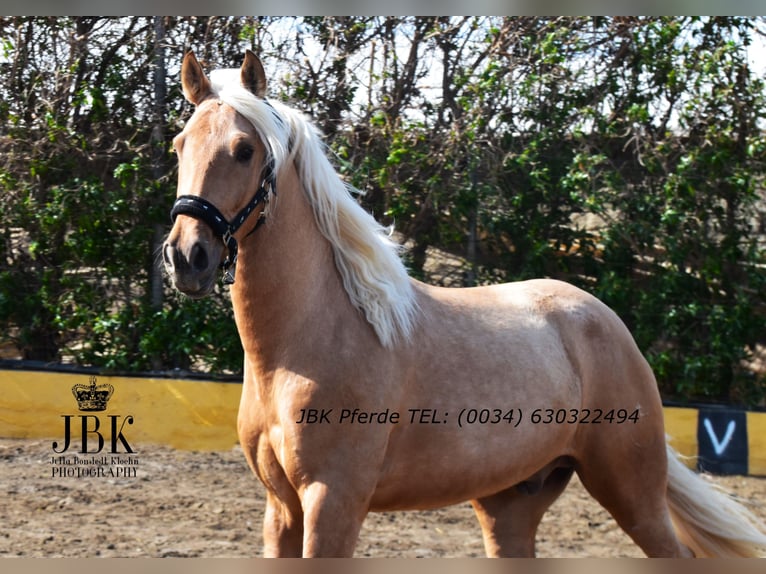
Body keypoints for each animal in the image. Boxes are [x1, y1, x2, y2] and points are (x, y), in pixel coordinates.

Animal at [162, 50, 766, 558]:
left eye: (244, 150)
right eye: (180, 144)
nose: (187, 256)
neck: (309, 341)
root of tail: (607, 322)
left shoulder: (332, 503)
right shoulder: (281, 510)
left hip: (631, 490)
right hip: (510, 505)